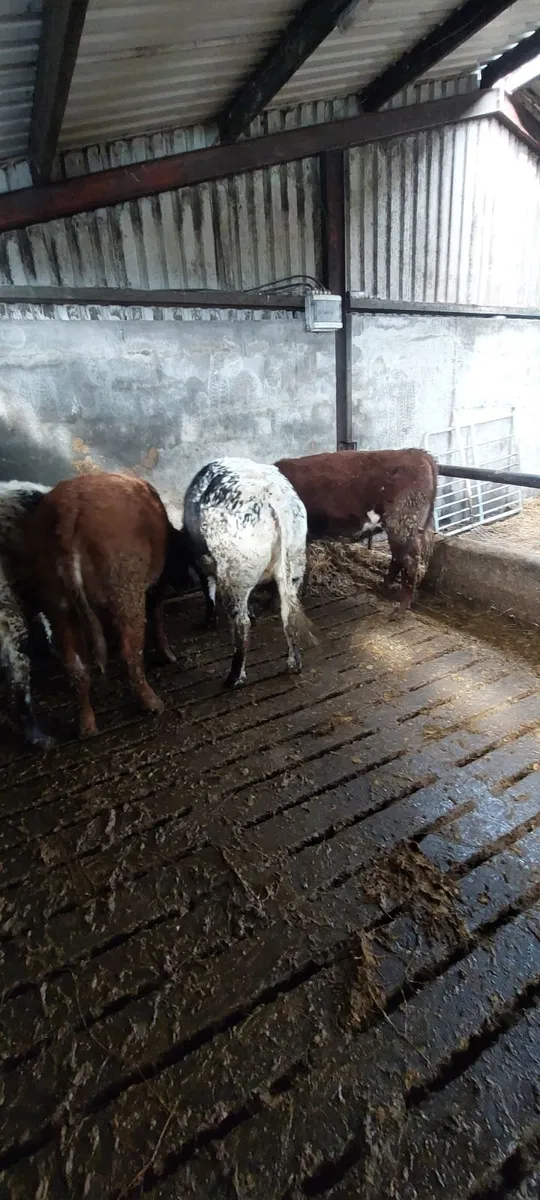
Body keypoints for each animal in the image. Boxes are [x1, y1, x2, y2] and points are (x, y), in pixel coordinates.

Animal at [20, 472, 190, 739]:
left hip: (56, 602)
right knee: (130, 652)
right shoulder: (153, 588)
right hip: (125, 588)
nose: (186, 582)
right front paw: (170, 656)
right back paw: (154, 704)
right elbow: (157, 615)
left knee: (75, 665)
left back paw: (87, 728)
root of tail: (68, 513)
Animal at [181, 457, 315, 687]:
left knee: (241, 623)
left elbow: (208, 590)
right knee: (288, 614)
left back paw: (233, 679)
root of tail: (272, 495)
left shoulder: (201, 561)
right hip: (295, 559)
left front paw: (208, 621)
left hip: (235, 571)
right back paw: (294, 665)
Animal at [276, 449, 438, 615]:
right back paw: (384, 588)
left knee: (409, 561)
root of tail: (419, 453)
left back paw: (400, 609)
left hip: (402, 524)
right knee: (397, 558)